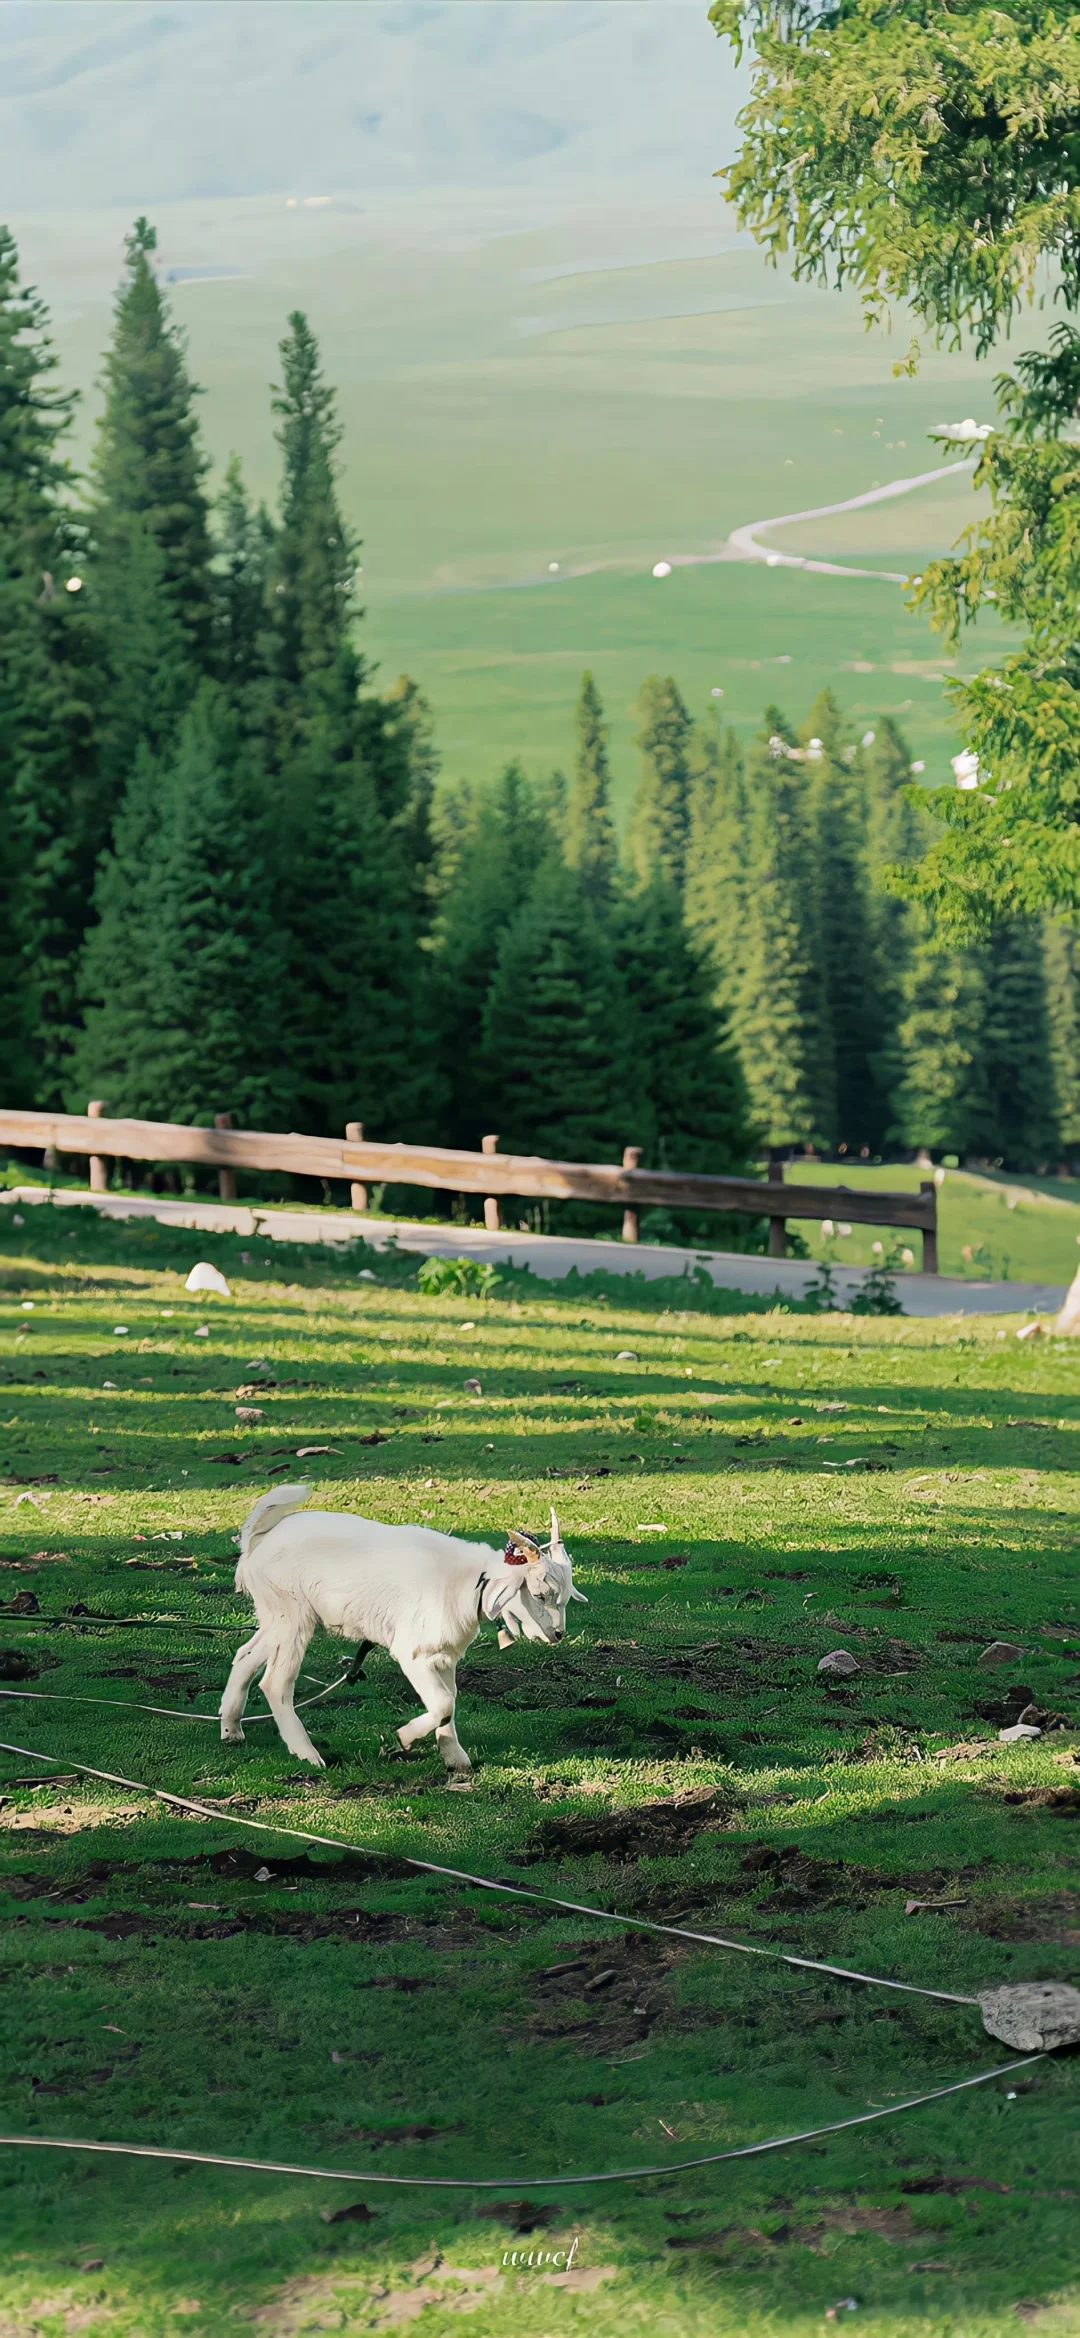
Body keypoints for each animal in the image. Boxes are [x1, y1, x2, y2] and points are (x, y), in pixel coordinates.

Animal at [219, 1477, 586, 1767]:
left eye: (565, 1598)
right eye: (539, 1594)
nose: (557, 1634)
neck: (470, 1584)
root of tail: (257, 1542)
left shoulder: (444, 1656)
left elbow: (449, 1703)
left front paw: (455, 1759)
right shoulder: (413, 1653)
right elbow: (443, 1703)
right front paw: (405, 1737)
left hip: (276, 1616)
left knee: (245, 1656)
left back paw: (231, 1729)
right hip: (292, 1615)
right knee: (275, 1683)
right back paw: (307, 1754)